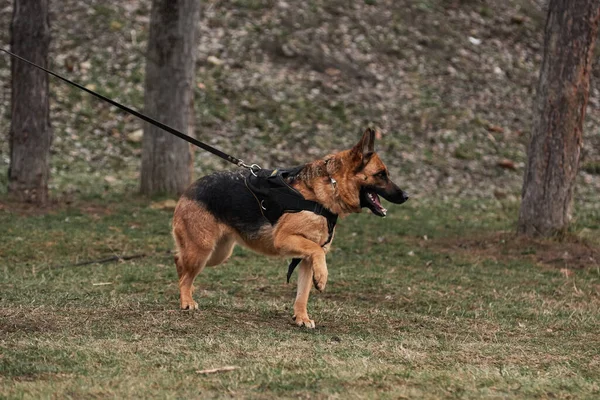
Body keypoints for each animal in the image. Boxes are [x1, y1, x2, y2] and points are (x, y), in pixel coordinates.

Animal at [171, 128, 410, 328]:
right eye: (381, 174)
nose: (407, 196)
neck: (328, 188)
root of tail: (190, 188)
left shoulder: (304, 259)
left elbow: (302, 293)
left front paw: (301, 317)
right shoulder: (286, 241)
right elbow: (317, 253)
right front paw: (322, 278)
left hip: (217, 254)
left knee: (180, 263)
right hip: (202, 251)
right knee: (183, 271)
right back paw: (186, 300)